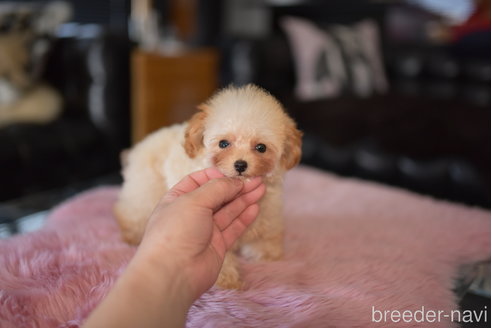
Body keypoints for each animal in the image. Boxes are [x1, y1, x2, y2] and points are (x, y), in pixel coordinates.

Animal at [115, 84, 302, 290]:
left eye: (261, 147)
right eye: (223, 143)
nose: (240, 165)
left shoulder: (269, 210)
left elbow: (267, 234)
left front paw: (268, 253)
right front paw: (228, 278)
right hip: (146, 186)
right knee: (132, 210)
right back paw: (133, 234)